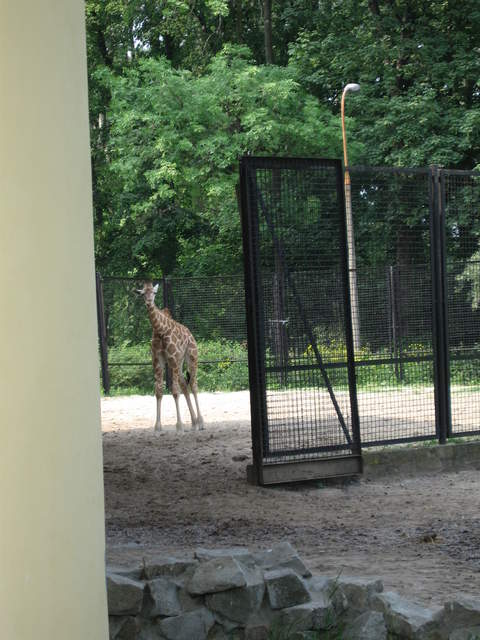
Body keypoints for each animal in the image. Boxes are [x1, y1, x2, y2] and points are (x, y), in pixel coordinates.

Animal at [138, 281, 204, 433]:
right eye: (143, 293)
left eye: (154, 292)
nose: (149, 303)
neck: (160, 330)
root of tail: (191, 334)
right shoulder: (157, 361)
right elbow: (159, 391)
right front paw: (157, 426)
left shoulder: (172, 358)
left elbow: (174, 391)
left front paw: (179, 426)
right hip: (179, 363)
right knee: (185, 385)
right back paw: (193, 423)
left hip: (191, 356)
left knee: (193, 385)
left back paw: (201, 422)